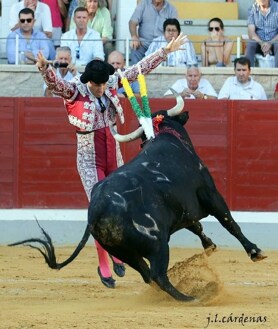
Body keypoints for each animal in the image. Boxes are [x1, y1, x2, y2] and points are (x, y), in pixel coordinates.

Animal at [8, 109, 266, 300]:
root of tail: (97, 207)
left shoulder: (184, 210)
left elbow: (198, 227)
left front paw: (210, 246)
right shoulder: (211, 194)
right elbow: (229, 222)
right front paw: (255, 251)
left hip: (124, 251)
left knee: (147, 275)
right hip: (158, 244)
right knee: (158, 275)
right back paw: (191, 298)